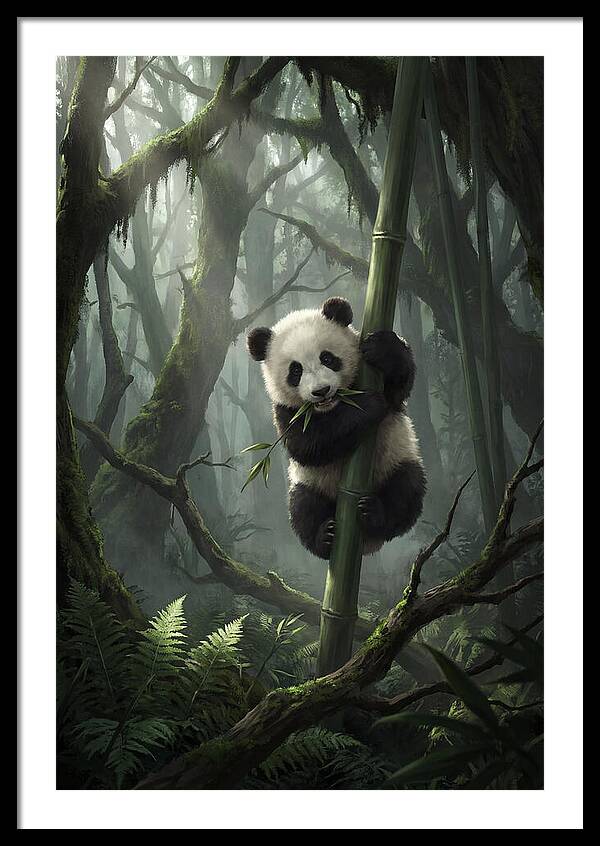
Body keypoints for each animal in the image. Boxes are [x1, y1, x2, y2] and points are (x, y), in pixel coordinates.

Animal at [247, 296, 426, 559]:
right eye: (295, 370)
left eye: (327, 358)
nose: (321, 391)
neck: (333, 406)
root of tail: (367, 545)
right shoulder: (285, 411)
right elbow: (308, 445)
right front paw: (368, 404)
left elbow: (398, 387)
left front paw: (382, 349)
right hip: (309, 483)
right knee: (303, 508)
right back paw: (325, 537)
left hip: (396, 459)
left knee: (406, 489)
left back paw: (375, 514)